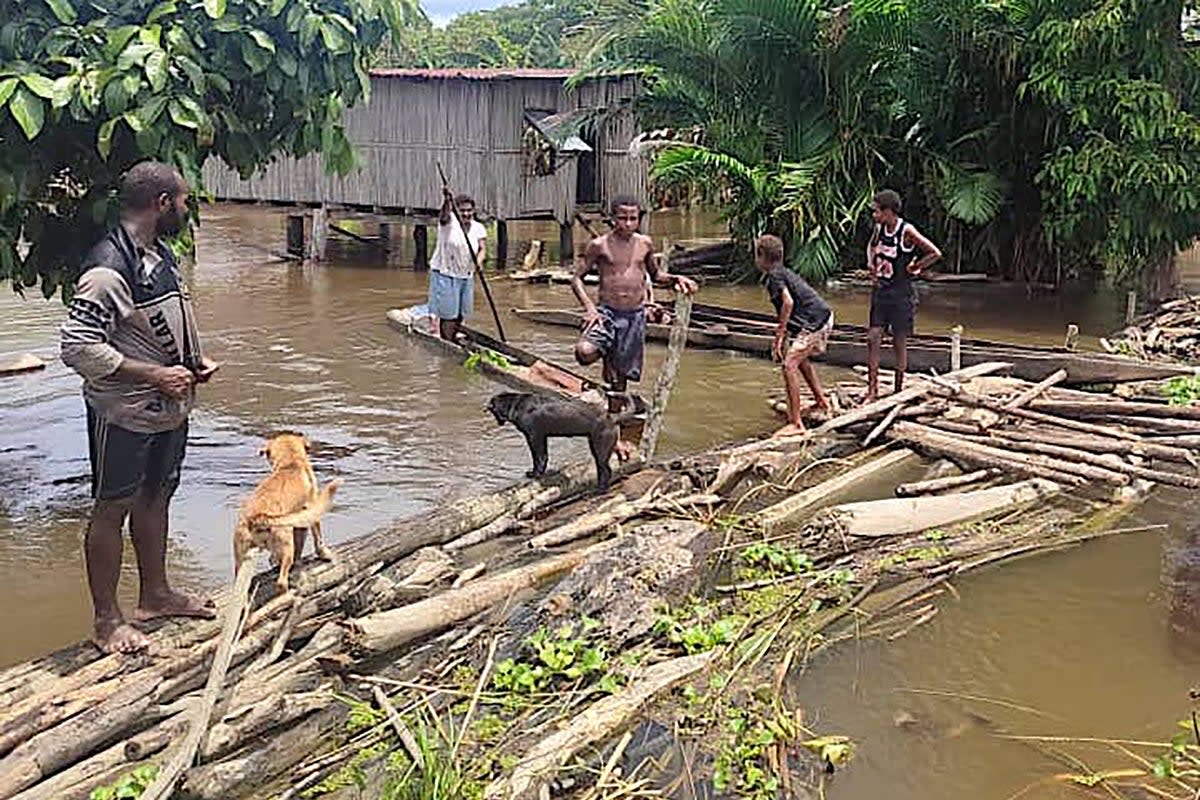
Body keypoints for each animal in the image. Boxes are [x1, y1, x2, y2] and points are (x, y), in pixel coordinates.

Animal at [232, 431, 343, 594]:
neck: (290, 463)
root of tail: (258, 518)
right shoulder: (311, 512)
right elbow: (317, 539)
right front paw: (324, 554)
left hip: (241, 557)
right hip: (286, 545)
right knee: (281, 581)